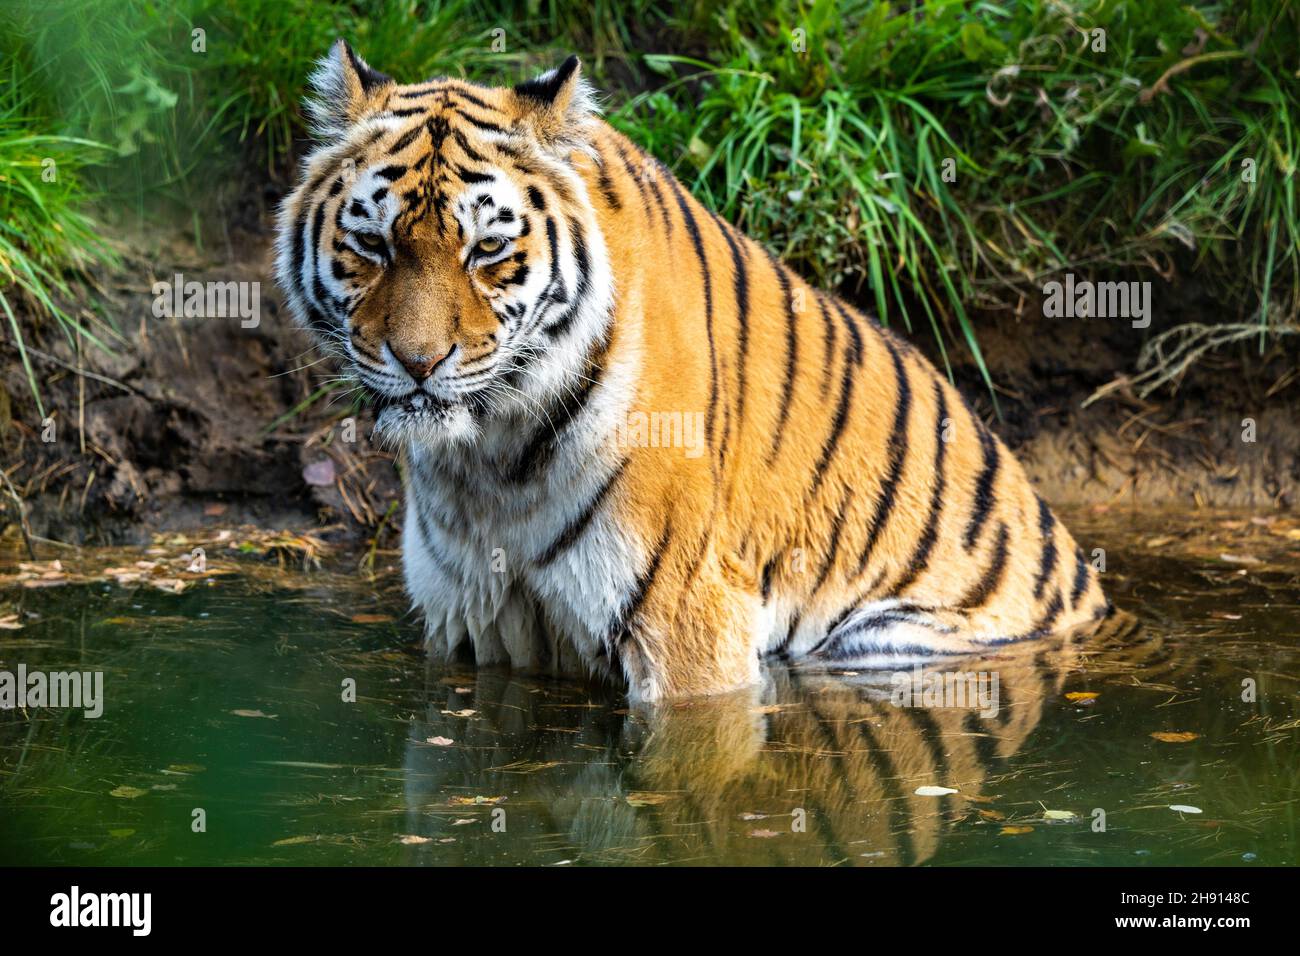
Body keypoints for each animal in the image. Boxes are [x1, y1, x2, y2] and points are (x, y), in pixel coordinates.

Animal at [271, 42, 1107, 702]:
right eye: (373, 245)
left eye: (487, 250)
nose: (418, 362)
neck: (490, 465)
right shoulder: (469, 624)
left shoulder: (684, 620)